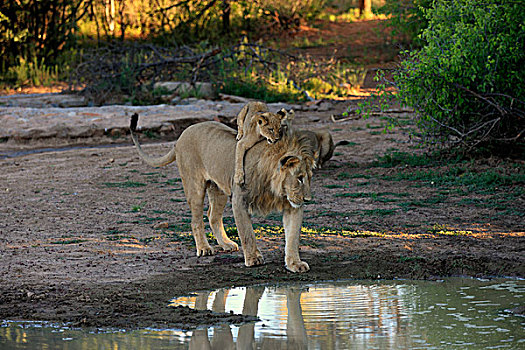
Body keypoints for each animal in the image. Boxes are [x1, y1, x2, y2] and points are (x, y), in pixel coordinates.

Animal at [129, 113, 314, 272]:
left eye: (308, 177)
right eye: (299, 178)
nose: (307, 199)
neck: (274, 187)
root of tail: (181, 136)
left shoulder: (292, 206)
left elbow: (293, 237)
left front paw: (295, 264)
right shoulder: (240, 200)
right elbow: (247, 234)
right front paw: (253, 259)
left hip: (218, 189)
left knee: (212, 216)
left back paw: (226, 244)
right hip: (195, 187)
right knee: (196, 220)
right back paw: (204, 248)